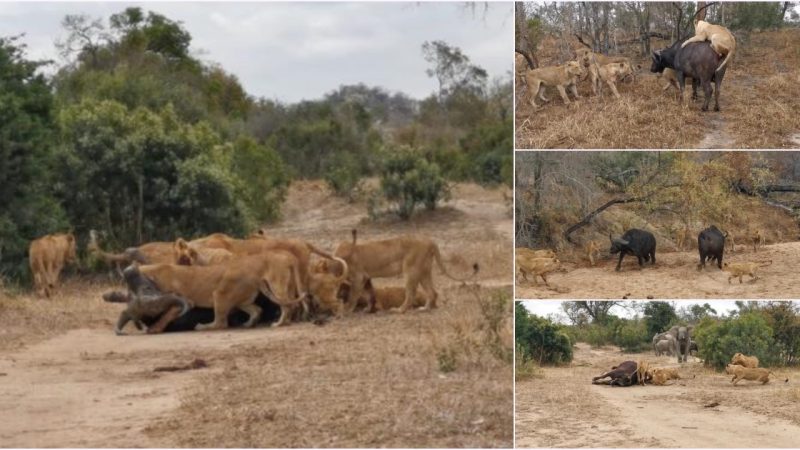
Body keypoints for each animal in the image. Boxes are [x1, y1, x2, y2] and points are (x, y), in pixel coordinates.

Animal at [324, 230, 476, 314]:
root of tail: (430, 241)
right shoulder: (366, 277)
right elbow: (369, 294)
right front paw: (367, 309)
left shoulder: (358, 277)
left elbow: (353, 296)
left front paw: (346, 310)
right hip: (424, 272)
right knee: (432, 292)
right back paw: (425, 308)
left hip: (410, 270)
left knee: (411, 294)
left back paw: (399, 310)